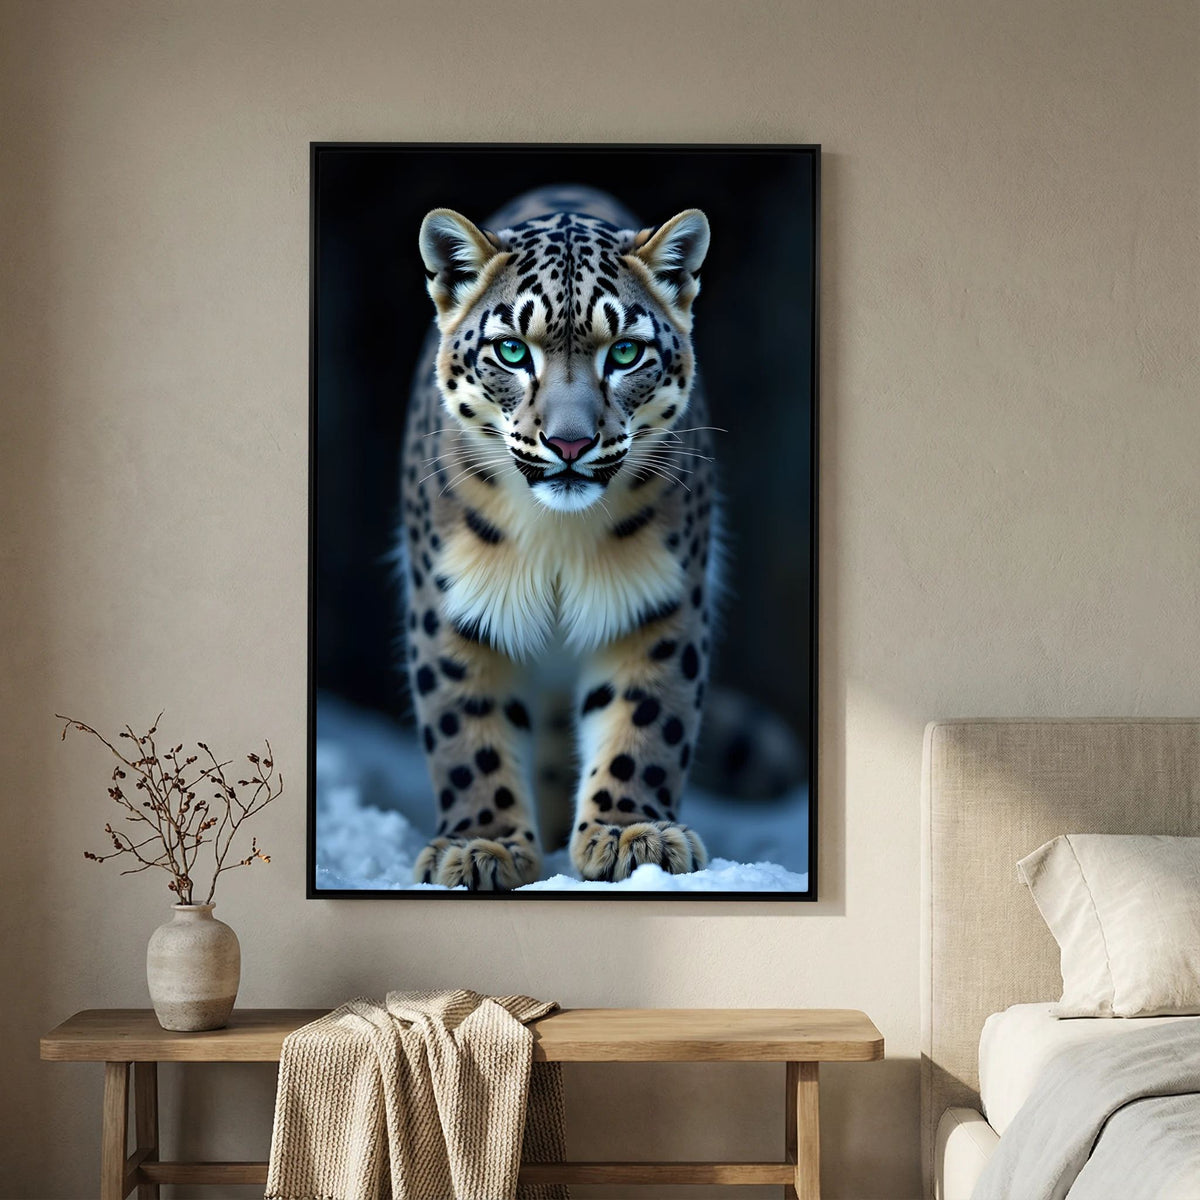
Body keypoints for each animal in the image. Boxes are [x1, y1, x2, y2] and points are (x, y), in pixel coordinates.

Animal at [397, 184, 719, 891]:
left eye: (624, 352)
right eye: (513, 350)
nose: (570, 443)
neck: (557, 538)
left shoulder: (659, 601)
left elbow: (645, 717)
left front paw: (632, 834)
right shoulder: (453, 606)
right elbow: (467, 730)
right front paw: (481, 846)